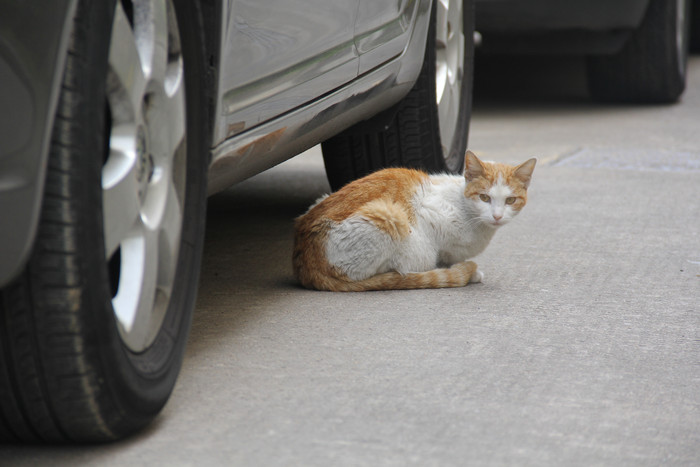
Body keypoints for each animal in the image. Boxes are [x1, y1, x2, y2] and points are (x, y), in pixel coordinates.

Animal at [292, 153, 536, 292]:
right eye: (484, 198)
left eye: (510, 200)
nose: (497, 216)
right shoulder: (431, 214)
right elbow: (447, 255)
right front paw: (463, 271)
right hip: (389, 217)